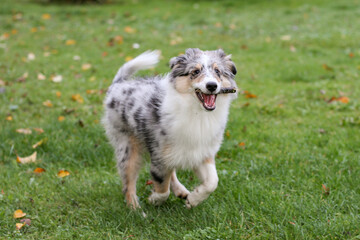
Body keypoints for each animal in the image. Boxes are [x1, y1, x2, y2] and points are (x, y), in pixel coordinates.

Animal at [102, 48, 238, 208]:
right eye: (195, 71)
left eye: (218, 71)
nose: (212, 86)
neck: (197, 113)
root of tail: (119, 84)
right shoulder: (159, 154)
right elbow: (162, 187)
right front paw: (154, 199)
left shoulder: (202, 151)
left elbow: (212, 182)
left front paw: (193, 199)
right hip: (128, 147)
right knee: (128, 183)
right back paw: (135, 208)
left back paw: (181, 191)